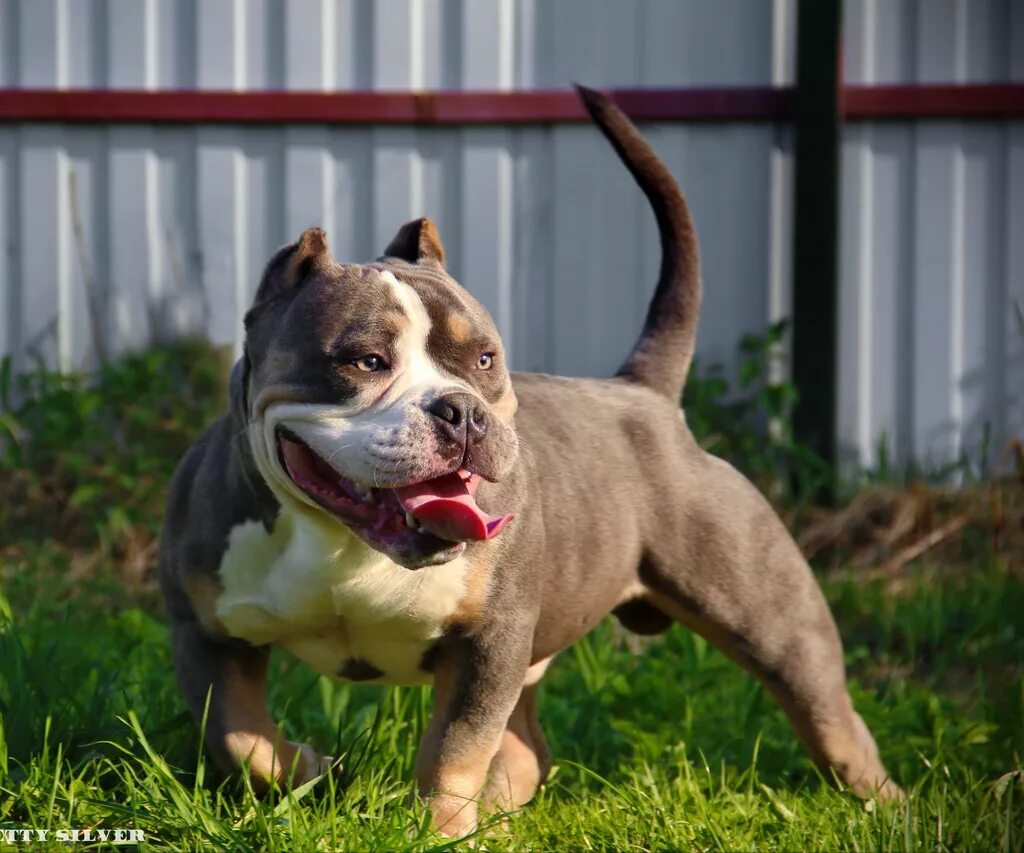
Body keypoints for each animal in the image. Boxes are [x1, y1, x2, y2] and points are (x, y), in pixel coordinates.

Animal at [155, 84, 901, 831]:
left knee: (830, 716)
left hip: (772, 618)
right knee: (525, 749)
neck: (340, 540)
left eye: (485, 359)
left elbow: (453, 747)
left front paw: (439, 830)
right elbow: (239, 737)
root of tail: (645, 395)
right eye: (366, 361)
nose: (462, 411)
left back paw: (886, 802)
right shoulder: (205, 636)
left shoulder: (491, 641)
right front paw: (314, 769)